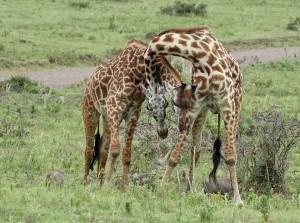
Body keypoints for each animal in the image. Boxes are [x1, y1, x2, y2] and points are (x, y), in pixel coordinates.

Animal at [82, 38, 182, 188]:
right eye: (149, 107)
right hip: (90, 110)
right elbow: (115, 150)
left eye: (166, 104)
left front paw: (124, 187)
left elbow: (126, 154)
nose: (163, 133)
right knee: (89, 149)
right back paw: (84, 184)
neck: (139, 70)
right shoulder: (115, 108)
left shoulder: (133, 112)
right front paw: (108, 183)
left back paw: (98, 184)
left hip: (106, 117)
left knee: (102, 148)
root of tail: (89, 81)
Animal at [143, 26, 244, 206]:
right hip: (203, 112)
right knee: (195, 151)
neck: (200, 55)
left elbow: (231, 156)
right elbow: (175, 156)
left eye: (168, 103)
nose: (162, 132)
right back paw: (187, 191)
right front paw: (160, 190)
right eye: (149, 108)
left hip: (236, 104)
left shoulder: (226, 102)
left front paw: (238, 201)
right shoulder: (196, 106)